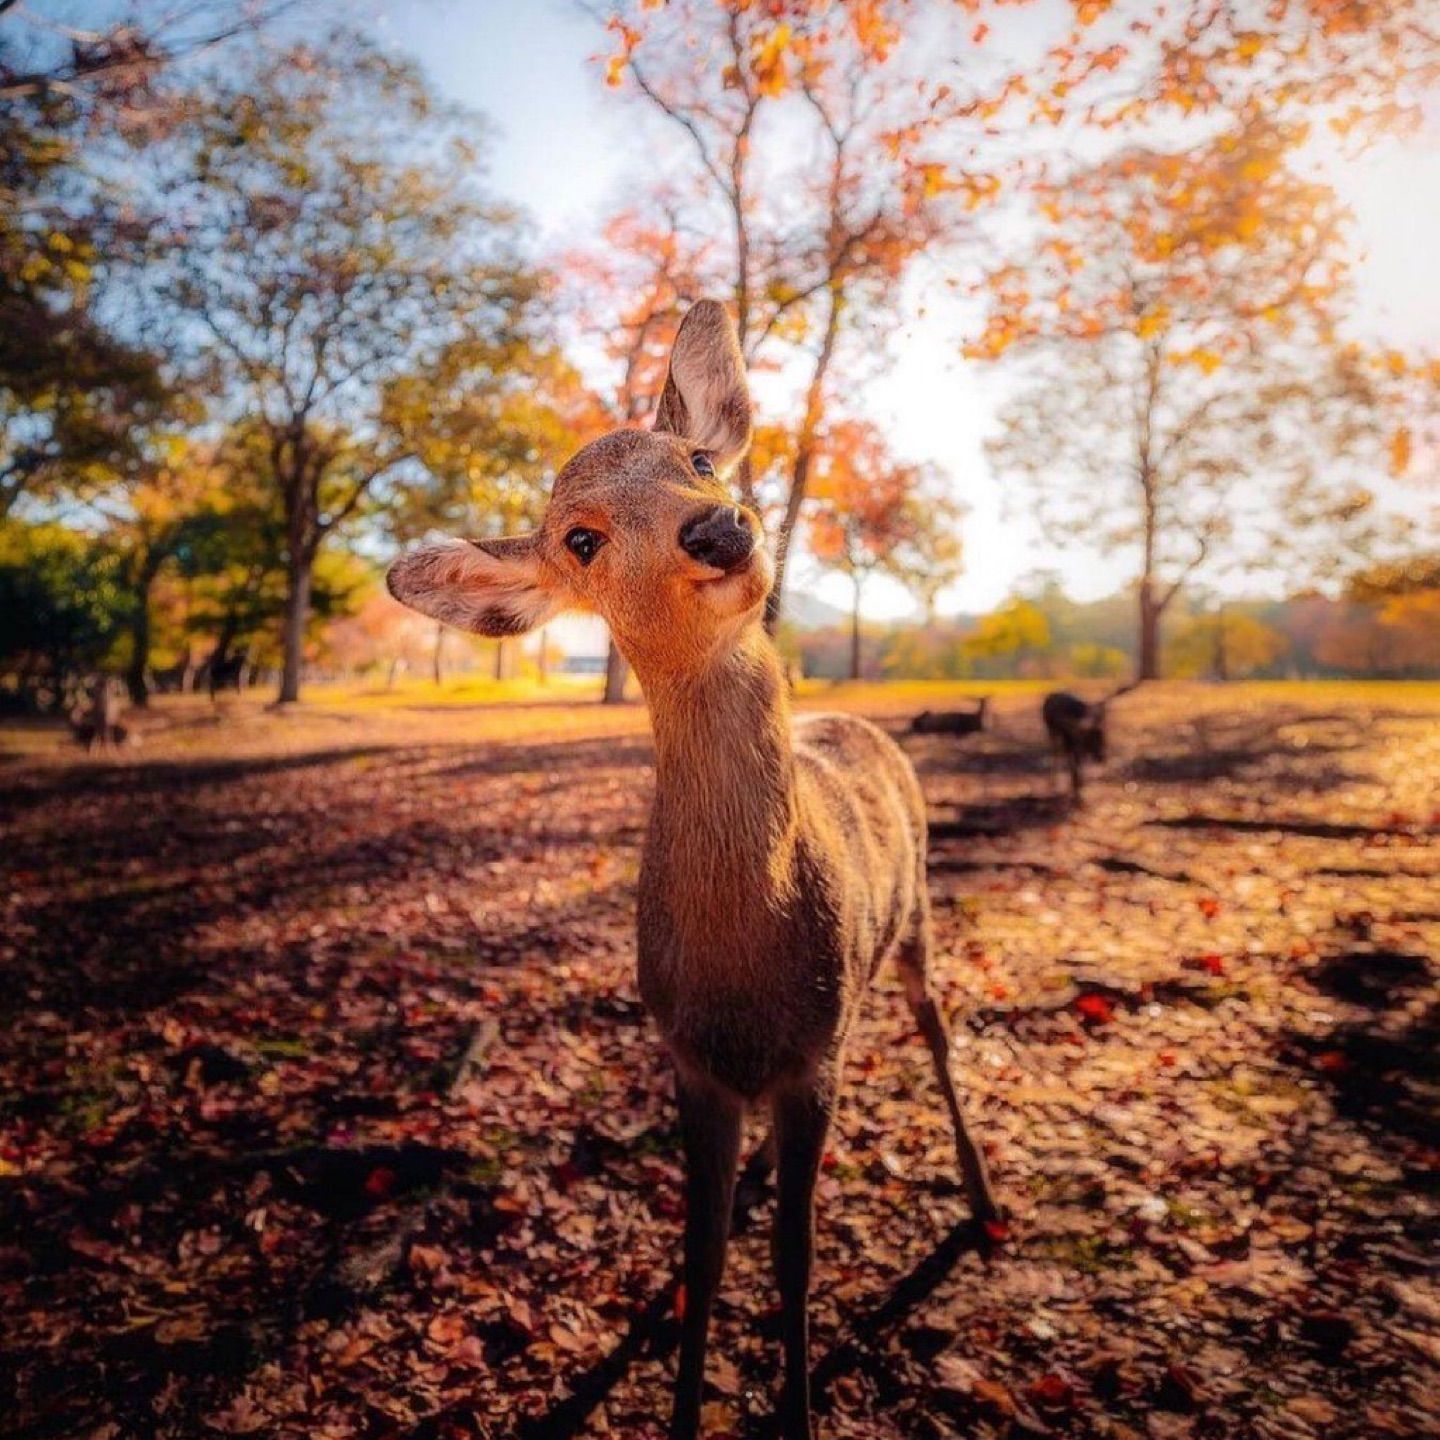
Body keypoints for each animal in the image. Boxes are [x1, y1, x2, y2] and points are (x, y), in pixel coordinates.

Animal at [383, 298, 1002, 1434]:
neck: (745, 972)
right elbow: (703, 1258)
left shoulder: (817, 1055)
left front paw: (796, 1408)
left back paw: (984, 1205)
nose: (722, 527)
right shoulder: (689, 1059)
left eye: (700, 459)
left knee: (938, 1033)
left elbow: (797, 1261)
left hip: (918, 920)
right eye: (580, 539)